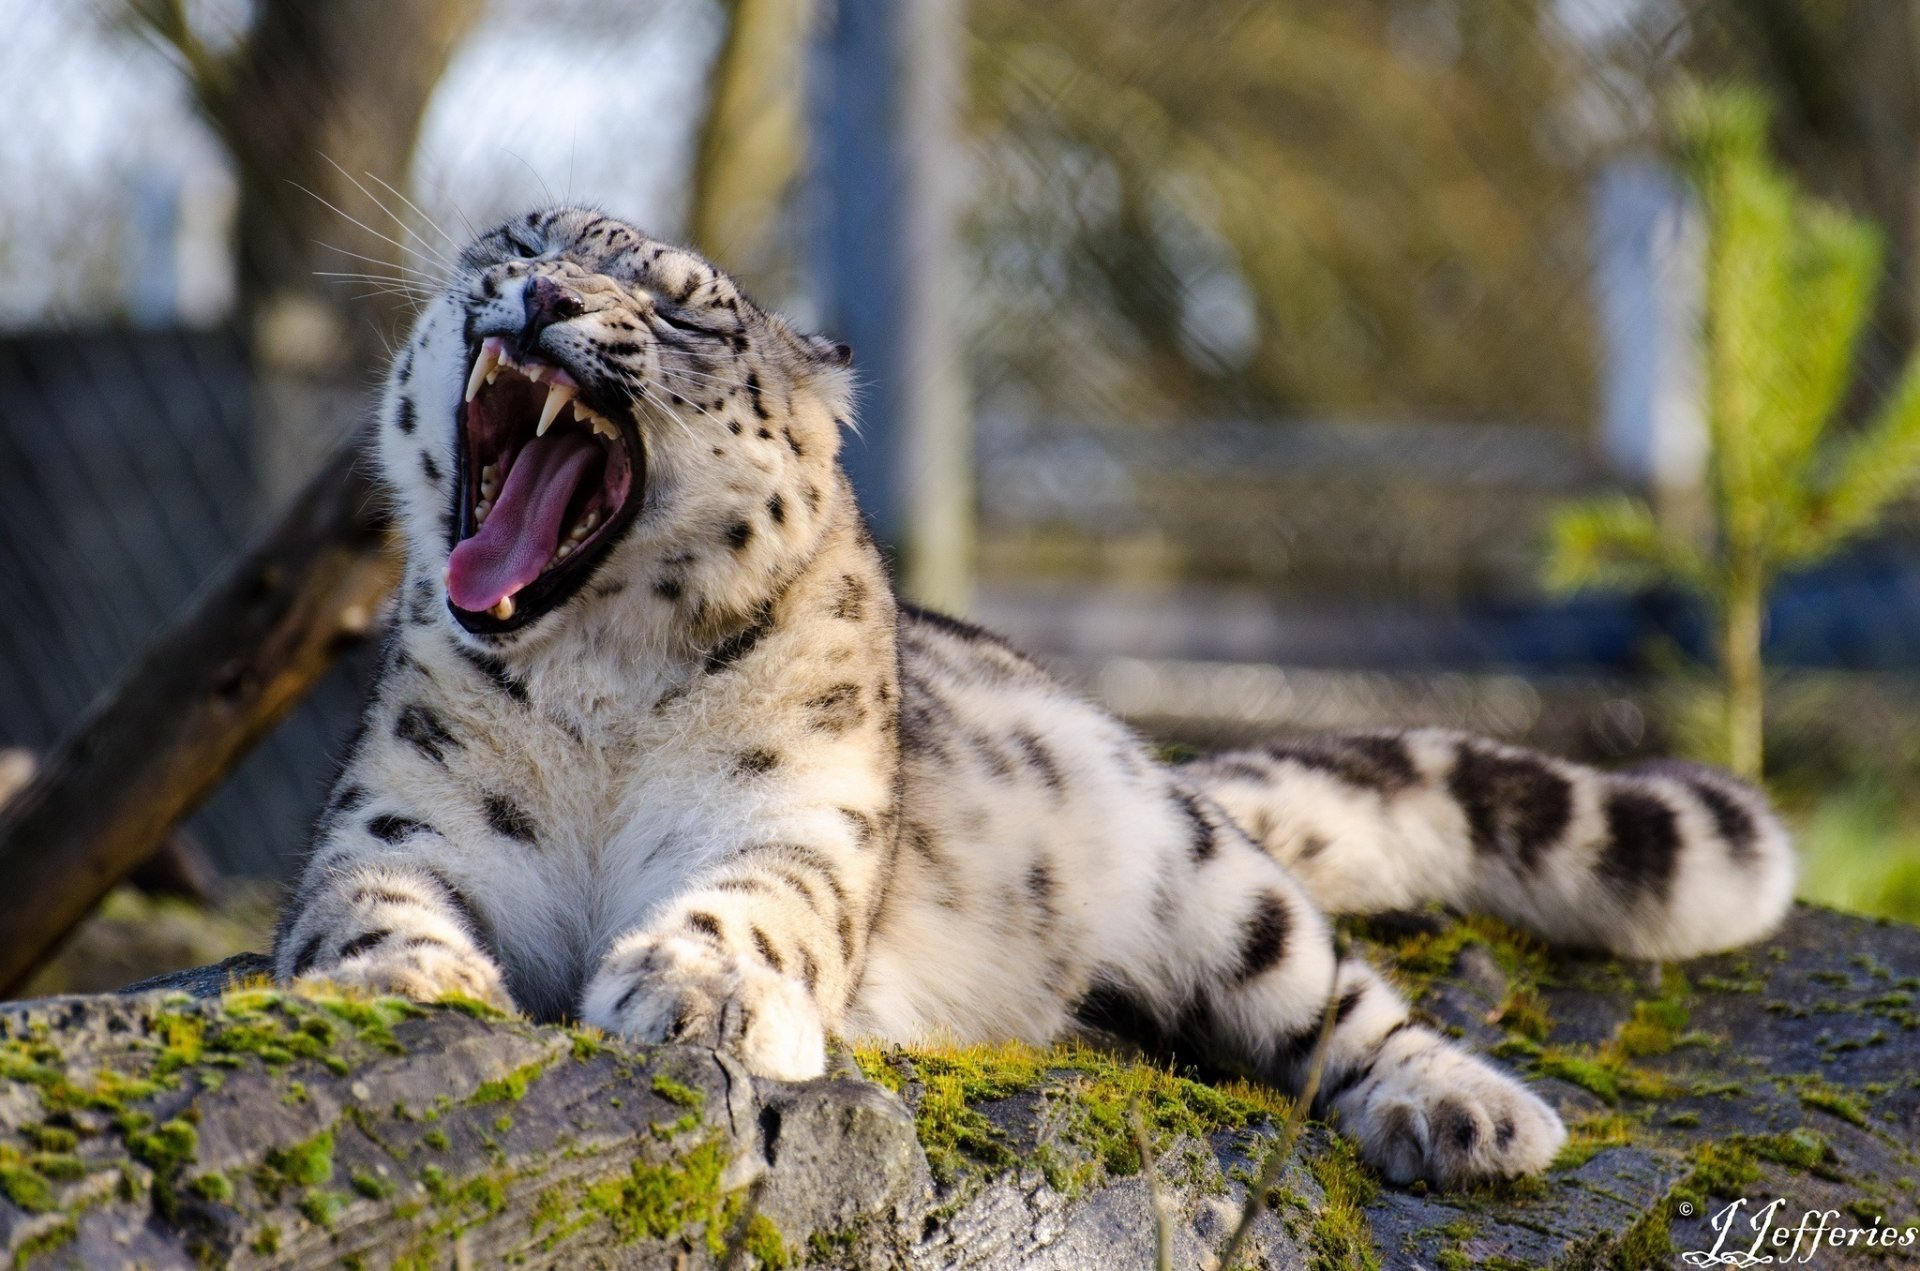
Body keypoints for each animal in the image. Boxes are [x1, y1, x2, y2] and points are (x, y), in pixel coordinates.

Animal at [274, 205, 1797, 1189]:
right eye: (518, 240)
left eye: (685, 309)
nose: (540, 298)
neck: (593, 685)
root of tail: (1141, 749)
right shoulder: (401, 815)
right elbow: (368, 893)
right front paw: (411, 975)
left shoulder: (799, 819)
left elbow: (755, 904)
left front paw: (699, 992)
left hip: (1214, 886)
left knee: (1345, 1001)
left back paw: (1470, 1114)